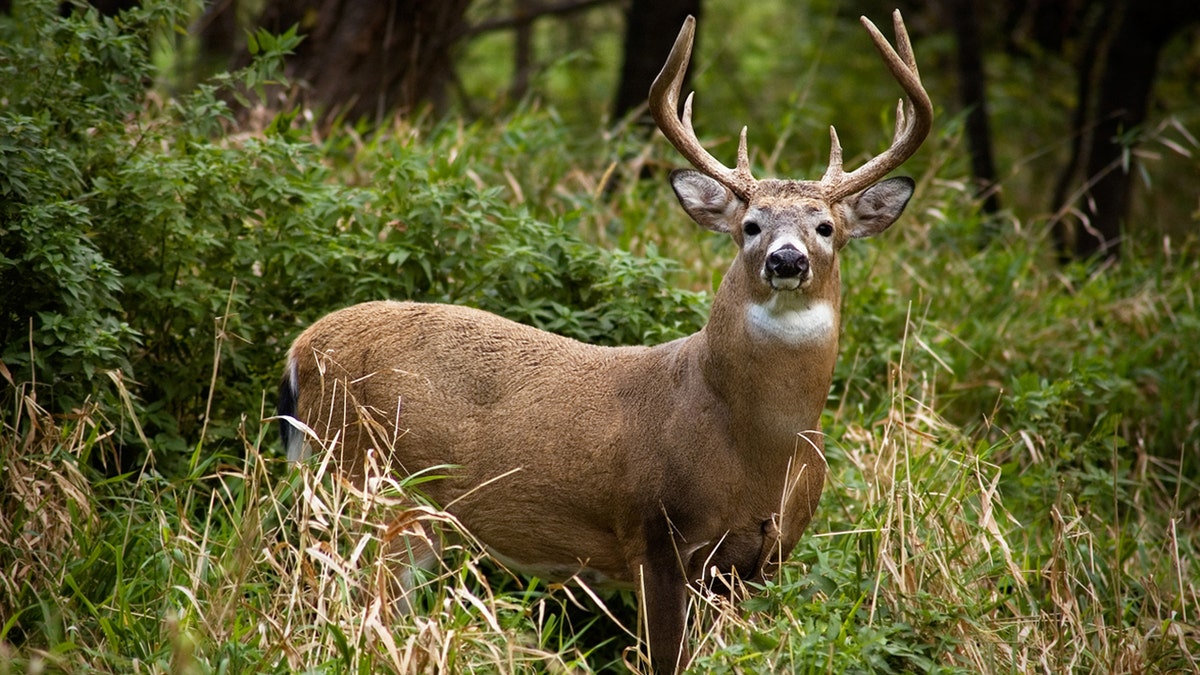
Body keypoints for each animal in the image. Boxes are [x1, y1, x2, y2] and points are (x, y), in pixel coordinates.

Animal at [278, 9, 926, 667]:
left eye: (825, 226)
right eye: (750, 225)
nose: (786, 259)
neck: (757, 447)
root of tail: (300, 350)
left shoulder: (763, 559)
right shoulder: (655, 533)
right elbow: (668, 657)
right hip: (367, 482)